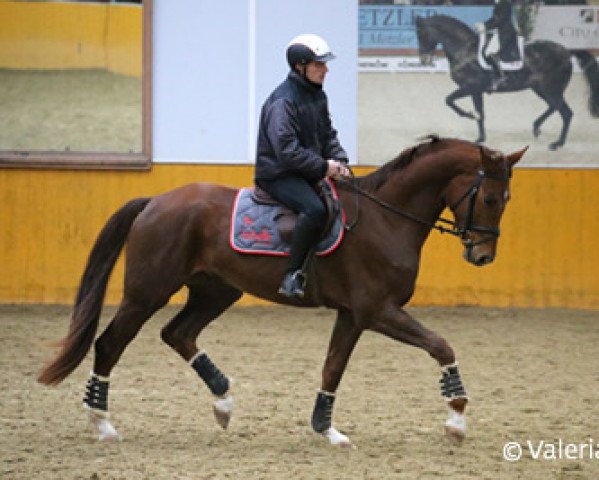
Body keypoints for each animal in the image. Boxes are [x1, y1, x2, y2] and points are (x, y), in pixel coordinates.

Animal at [38, 135, 524, 446]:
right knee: (110, 343)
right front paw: (456, 418)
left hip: (216, 291)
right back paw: (102, 424)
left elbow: (333, 368)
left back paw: (224, 402)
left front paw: (327, 429)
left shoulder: (353, 315)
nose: (483, 255)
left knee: (178, 333)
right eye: (488, 199)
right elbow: (441, 346)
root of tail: (155, 201)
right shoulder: (377, 311)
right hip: (147, 293)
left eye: (506, 200)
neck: (387, 218)